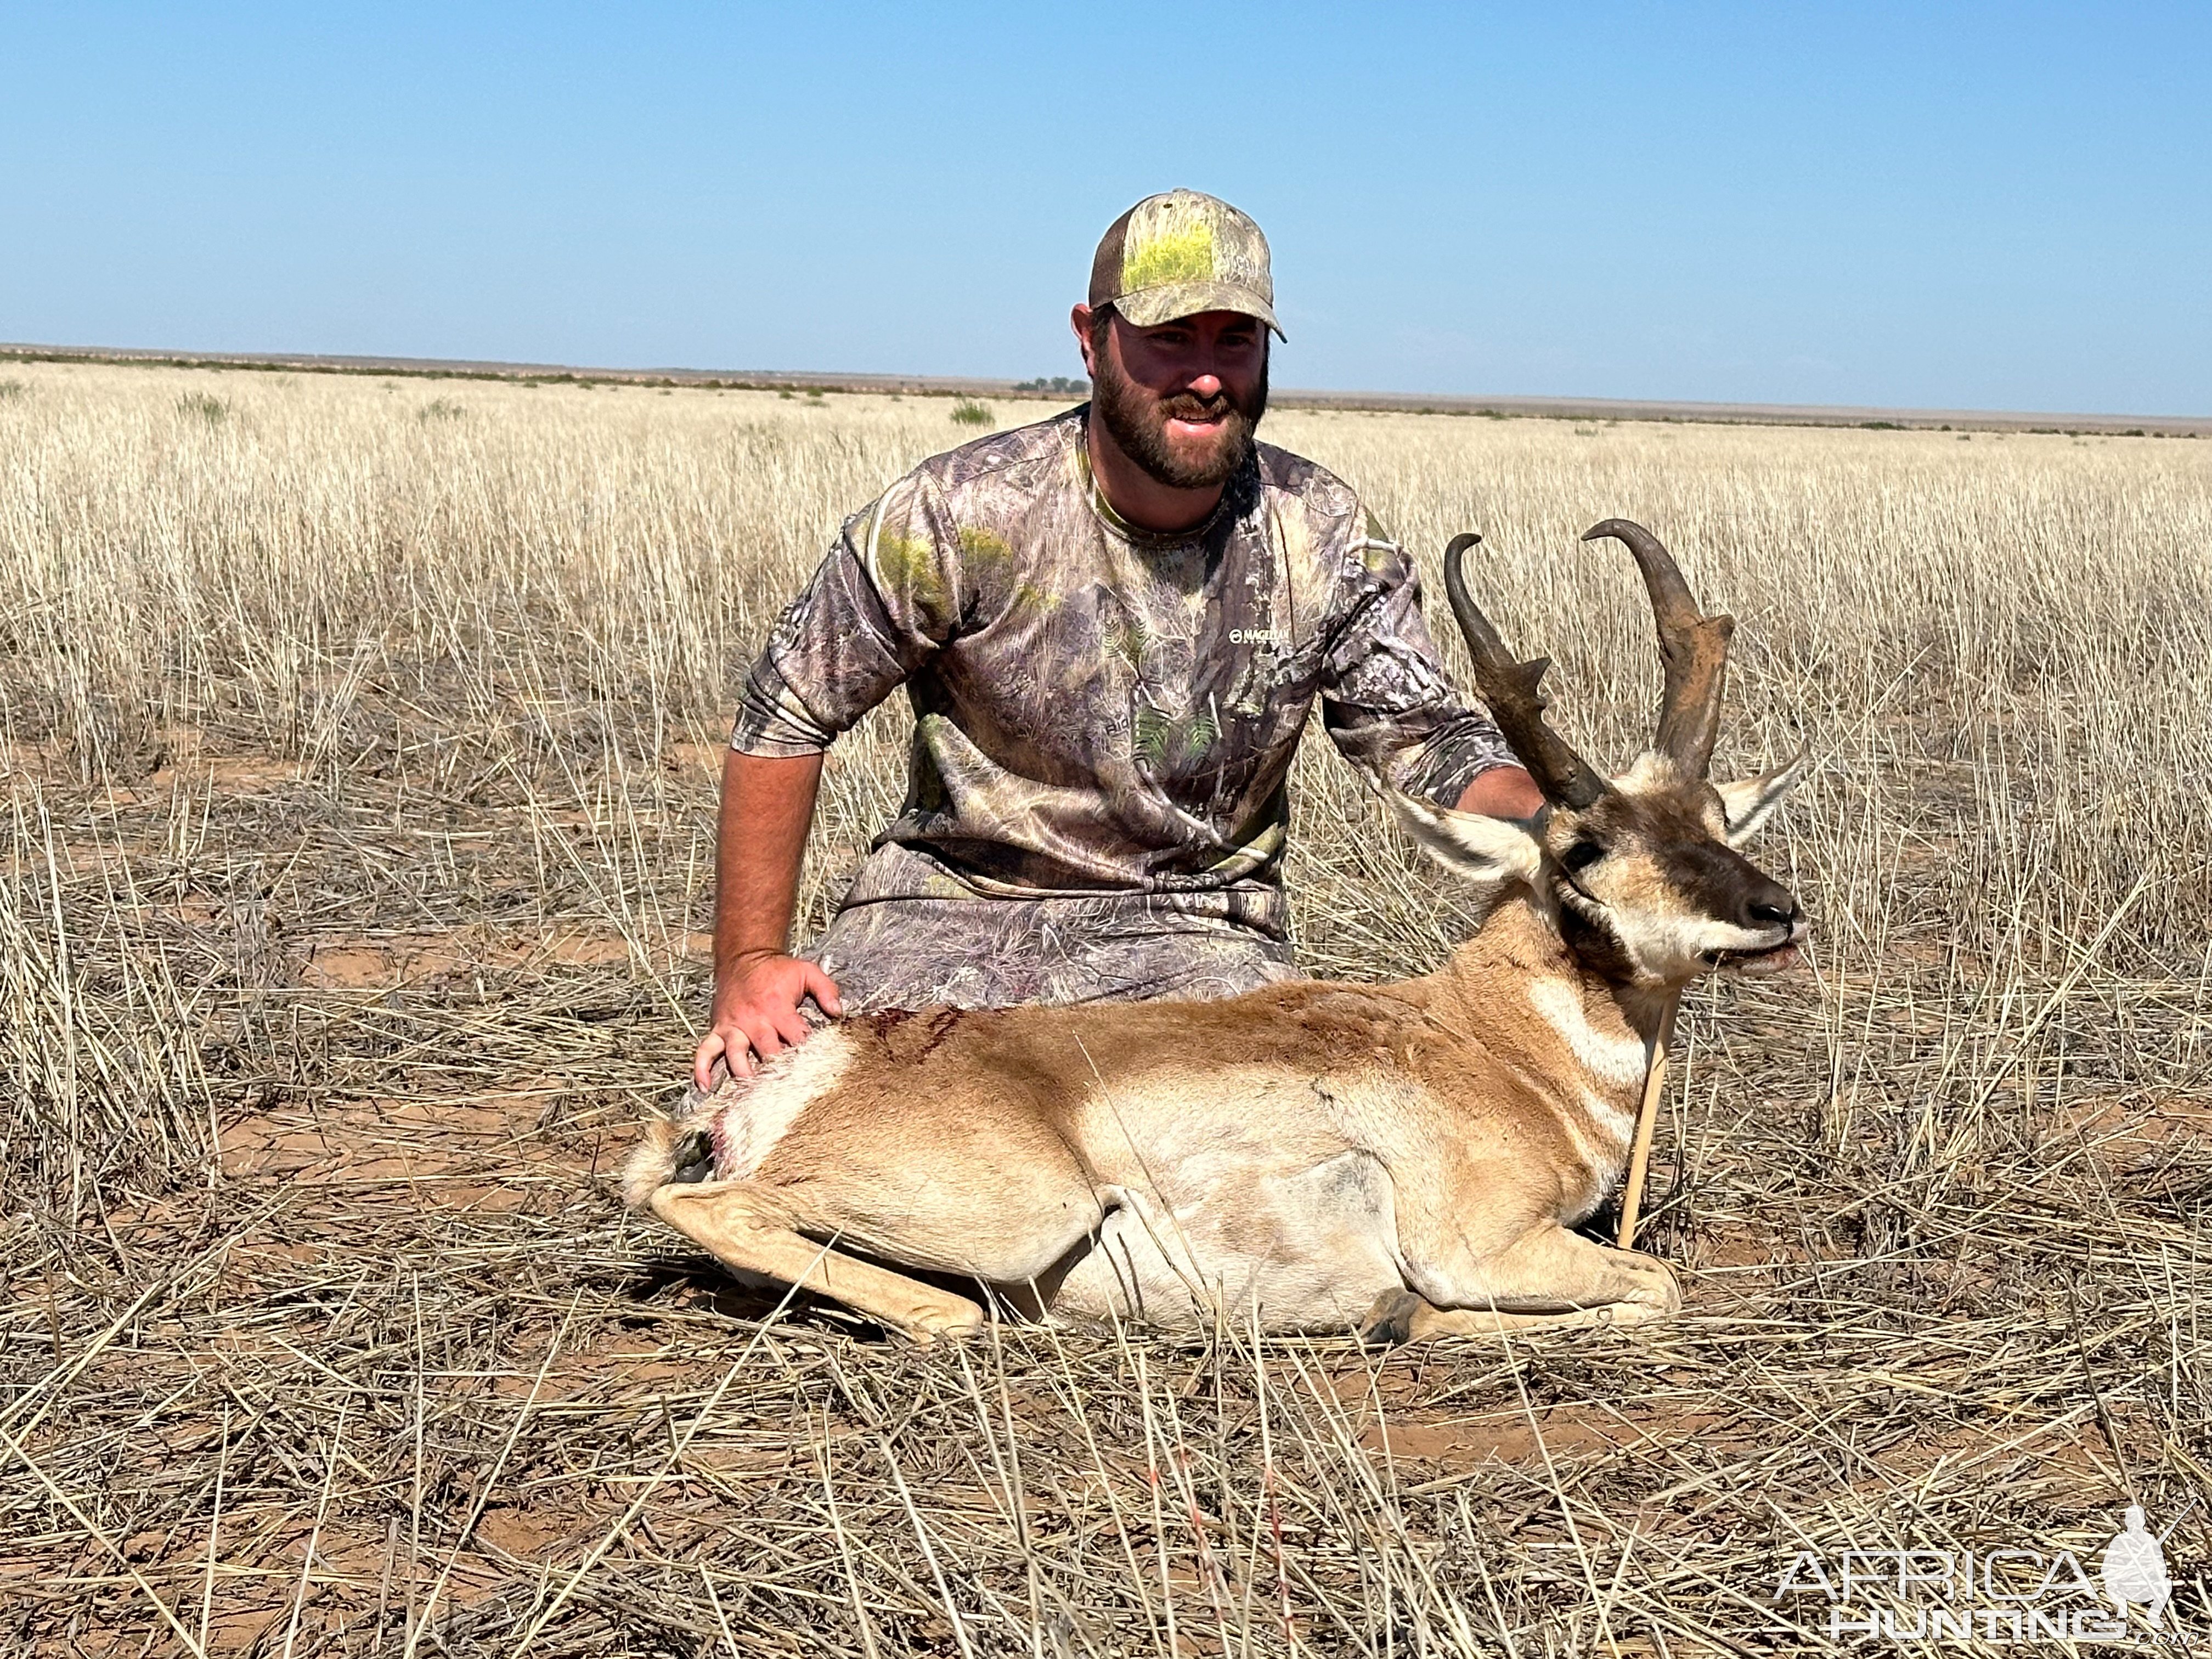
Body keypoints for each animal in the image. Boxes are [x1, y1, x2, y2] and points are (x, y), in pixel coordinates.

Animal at [633, 522, 1805, 1353]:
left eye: (1712, 817)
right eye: (1581, 848)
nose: (1775, 914)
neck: (1484, 1039)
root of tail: (803, 1067)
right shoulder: (1485, 1246)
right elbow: (1655, 1284)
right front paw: (1403, 1314)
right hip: (1028, 1212)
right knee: (708, 1205)